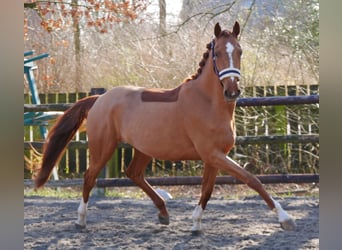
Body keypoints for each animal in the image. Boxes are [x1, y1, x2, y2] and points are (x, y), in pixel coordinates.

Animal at [36, 22, 296, 231]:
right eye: (220, 52)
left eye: (240, 51)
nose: (232, 91)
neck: (208, 102)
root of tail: (100, 98)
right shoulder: (213, 154)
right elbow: (252, 179)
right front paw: (285, 219)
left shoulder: (213, 157)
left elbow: (207, 190)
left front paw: (195, 224)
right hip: (103, 147)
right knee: (90, 177)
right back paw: (80, 220)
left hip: (143, 149)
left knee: (133, 174)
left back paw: (163, 213)